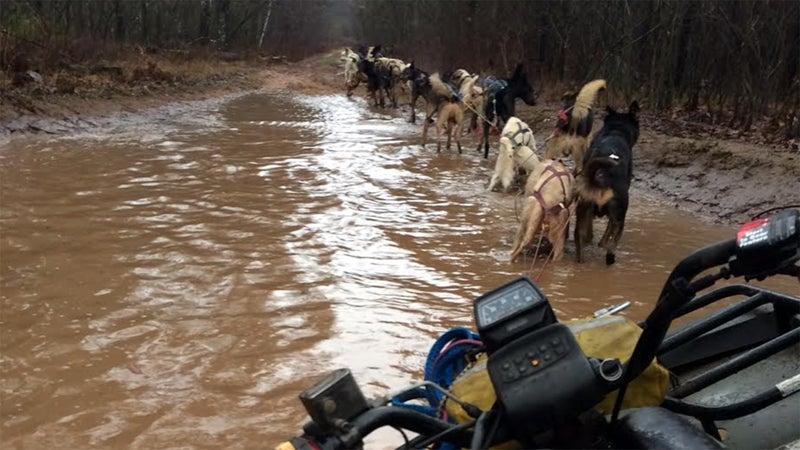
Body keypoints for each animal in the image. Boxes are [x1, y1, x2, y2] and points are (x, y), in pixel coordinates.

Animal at [576, 100, 644, 266]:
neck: (615, 131)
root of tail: (602, 178)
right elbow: (608, 230)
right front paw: (601, 243)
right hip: (620, 216)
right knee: (613, 242)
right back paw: (610, 256)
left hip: (583, 208)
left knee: (580, 241)